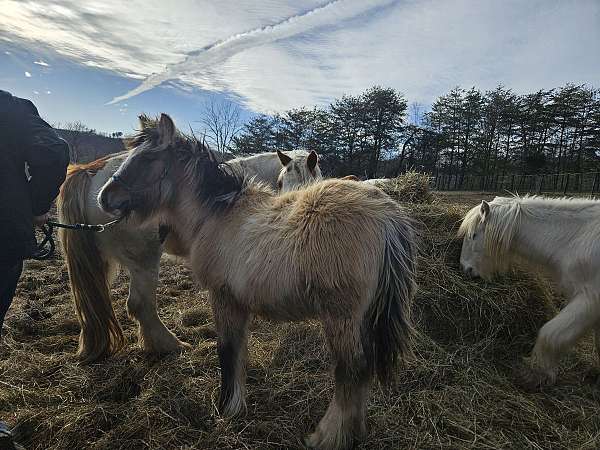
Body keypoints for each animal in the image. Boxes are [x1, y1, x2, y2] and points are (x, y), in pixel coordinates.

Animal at [98, 113, 418, 450]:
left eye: (147, 158)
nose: (104, 197)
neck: (216, 216)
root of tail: (387, 215)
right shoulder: (238, 304)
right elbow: (239, 351)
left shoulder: (223, 298)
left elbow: (227, 350)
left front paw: (227, 407)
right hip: (364, 315)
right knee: (364, 369)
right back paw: (354, 431)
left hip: (341, 316)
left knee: (352, 369)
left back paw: (327, 436)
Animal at [460, 196, 600, 390]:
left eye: (473, 235)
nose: (464, 268)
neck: (576, 239)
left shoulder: (589, 300)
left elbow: (550, 334)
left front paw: (533, 375)